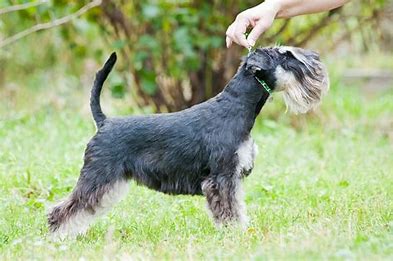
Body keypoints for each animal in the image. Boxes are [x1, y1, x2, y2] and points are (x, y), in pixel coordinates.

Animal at [46, 45, 328, 238]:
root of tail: (104, 122)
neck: (237, 106)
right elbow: (229, 208)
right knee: (66, 208)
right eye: (285, 55)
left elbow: (237, 205)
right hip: (97, 176)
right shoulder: (221, 178)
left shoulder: (232, 178)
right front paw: (234, 234)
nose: (316, 60)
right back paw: (58, 236)